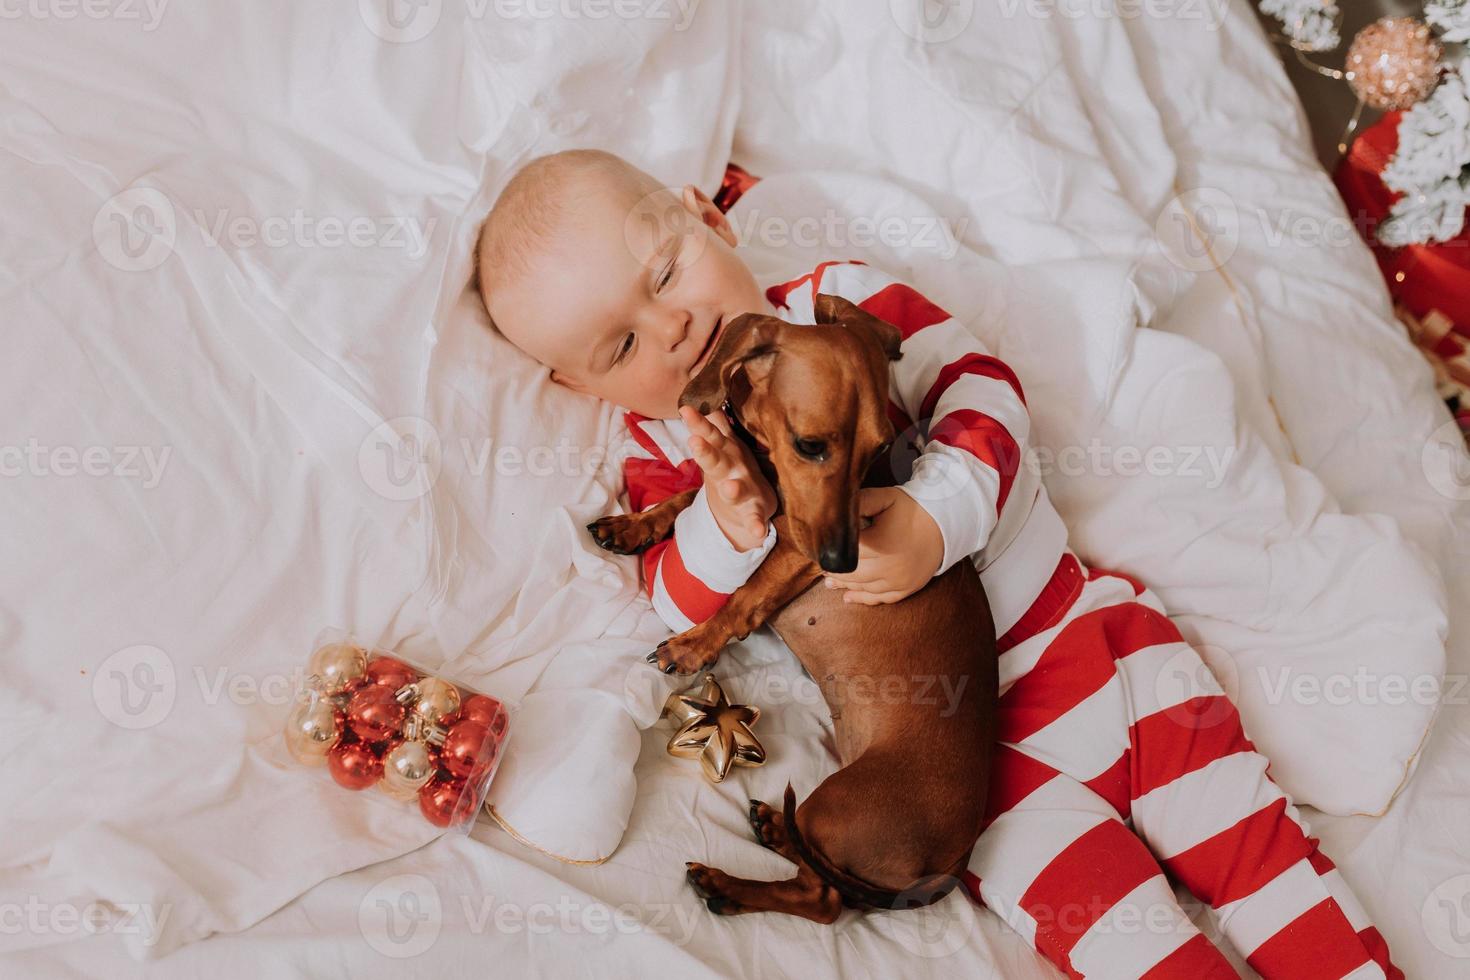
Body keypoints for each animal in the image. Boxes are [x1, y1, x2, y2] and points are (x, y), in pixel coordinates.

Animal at [585, 295, 999, 922]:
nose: (847, 560)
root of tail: (958, 858)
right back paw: (776, 828)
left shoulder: (799, 549)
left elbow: (746, 597)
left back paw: (728, 885)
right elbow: (688, 500)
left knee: (822, 898)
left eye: (880, 449)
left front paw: (693, 645)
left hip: (840, 805)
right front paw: (635, 525)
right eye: (811, 445)